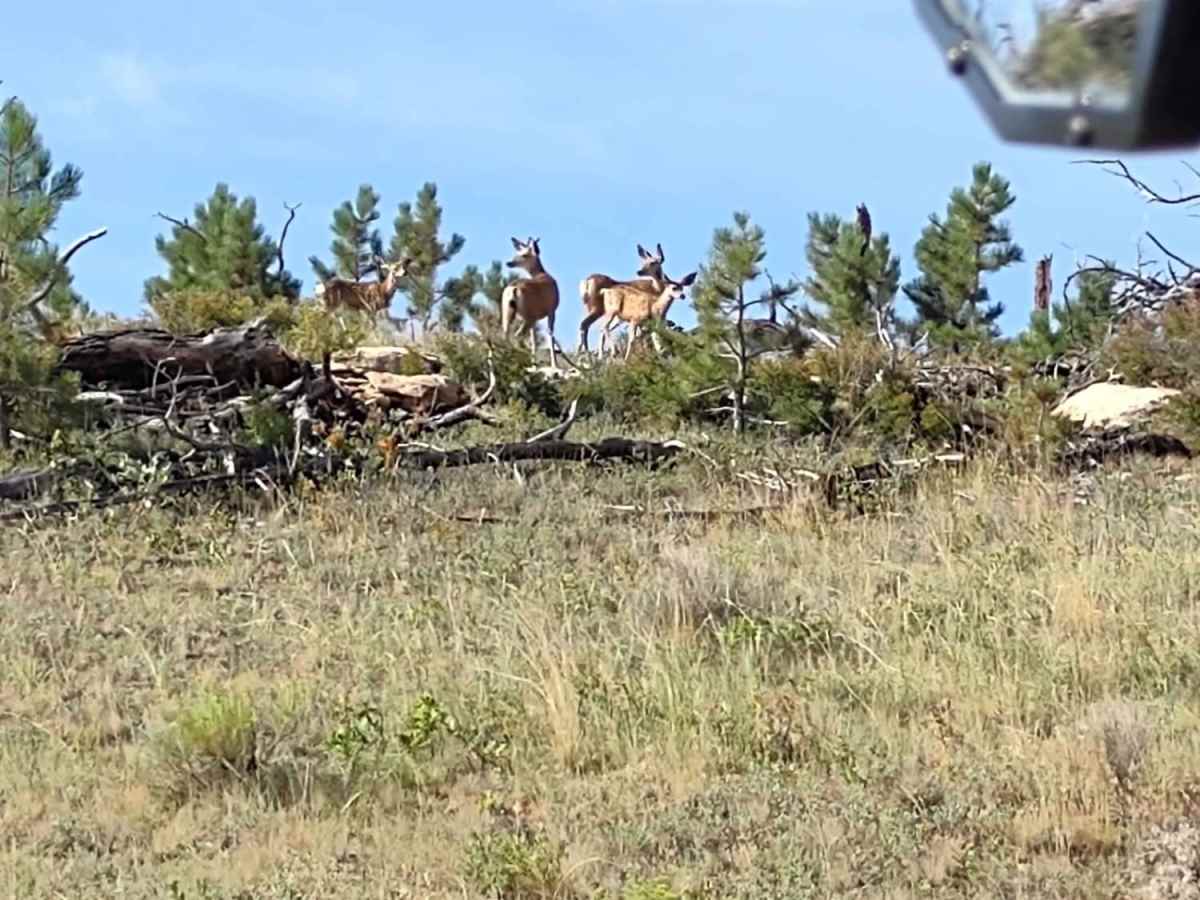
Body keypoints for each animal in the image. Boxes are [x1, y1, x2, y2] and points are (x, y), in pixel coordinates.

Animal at [501, 236, 561, 369]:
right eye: (517, 252)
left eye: (524, 254)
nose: (509, 263)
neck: (542, 274)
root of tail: (513, 289)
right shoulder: (551, 310)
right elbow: (550, 335)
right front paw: (555, 365)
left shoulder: (537, 317)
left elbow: (533, 340)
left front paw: (534, 364)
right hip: (528, 315)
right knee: (517, 335)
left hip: (507, 311)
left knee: (505, 334)